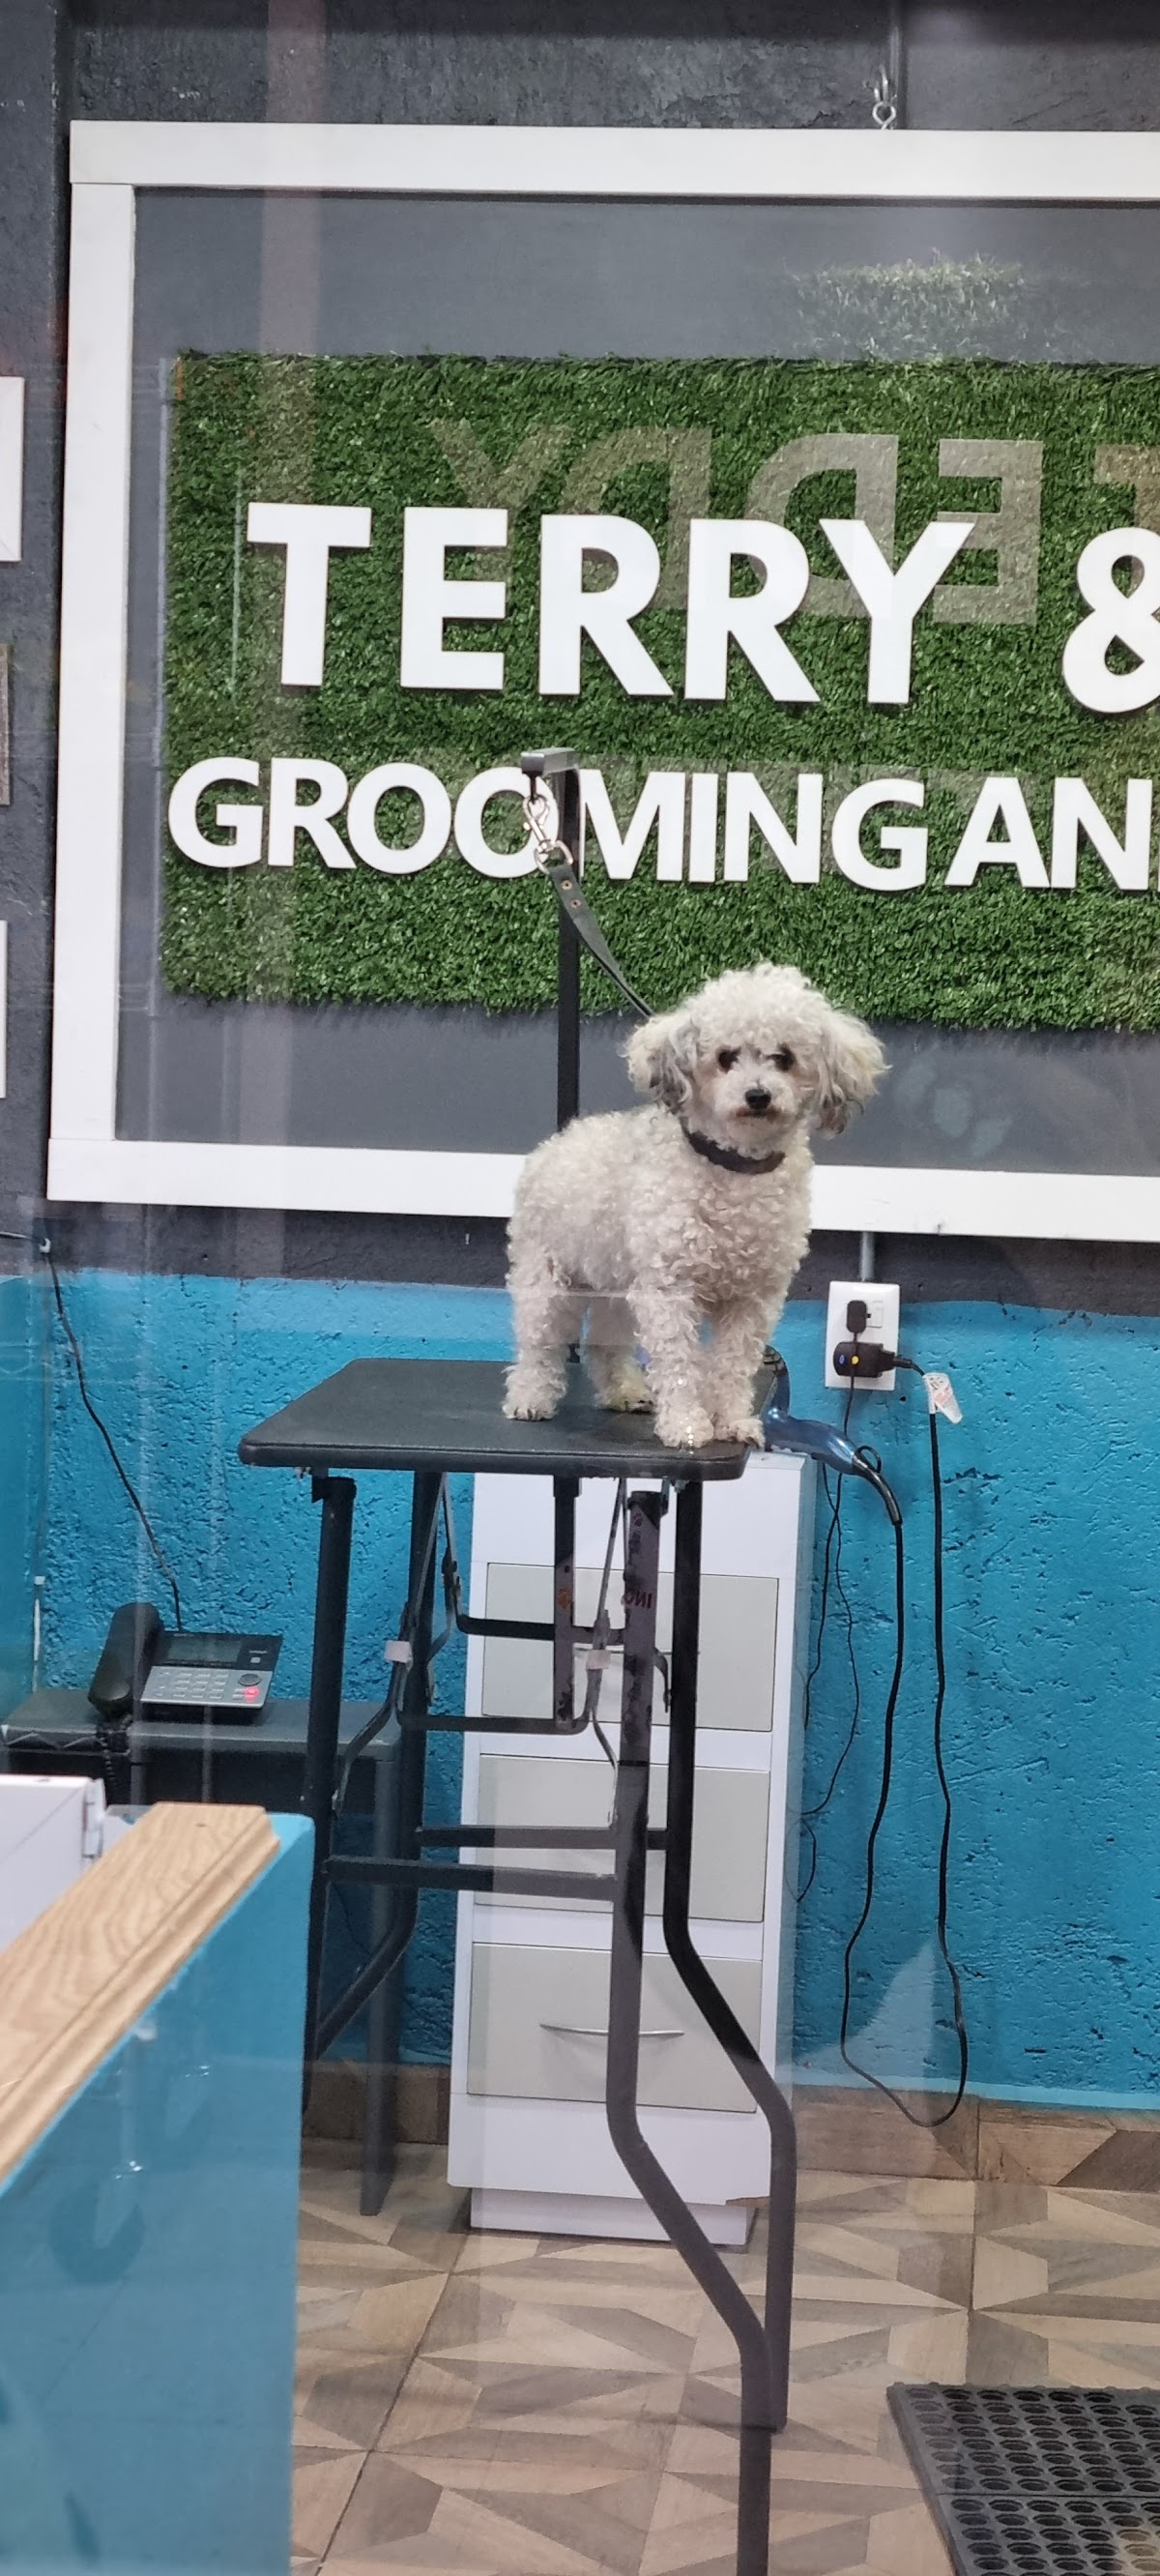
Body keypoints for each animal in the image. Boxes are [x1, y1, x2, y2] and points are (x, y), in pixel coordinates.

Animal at [504, 961, 885, 1449]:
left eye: (783, 1057)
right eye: (725, 1057)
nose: (758, 1095)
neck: (734, 1168)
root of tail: (556, 1143)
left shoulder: (753, 1299)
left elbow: (733, 1364)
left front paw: (733, 1421)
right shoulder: (670, 1290)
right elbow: (680, 1363)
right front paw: (687, 1425)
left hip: (617, 1283)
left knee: (604, 1343)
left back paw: (625, 1391)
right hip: (549, 1278)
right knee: (539, 1344)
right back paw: (530, 1397)